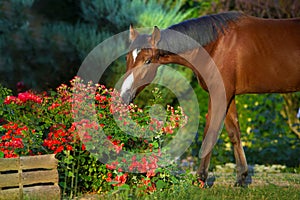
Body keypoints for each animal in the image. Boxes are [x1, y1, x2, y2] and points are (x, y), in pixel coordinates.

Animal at [119, 10, 300, 186]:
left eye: (148, 61)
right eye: (127, 59)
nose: (124, 95)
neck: (216, 46)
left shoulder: (219, 94)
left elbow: (210, 133)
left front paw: (200, 179)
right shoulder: (228, 95)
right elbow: (234, 133)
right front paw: (241, 177)